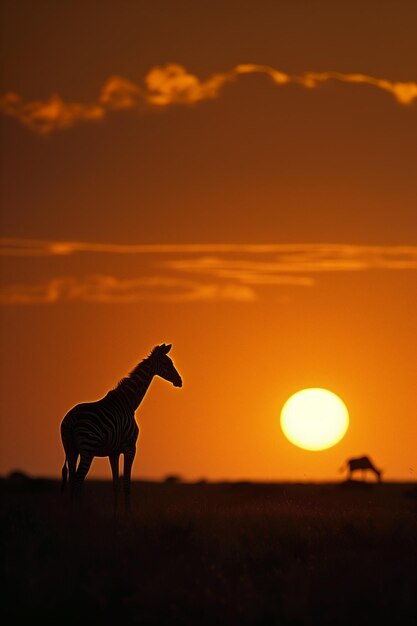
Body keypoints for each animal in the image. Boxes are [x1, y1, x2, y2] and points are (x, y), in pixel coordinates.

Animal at [60, 344, 182, 510]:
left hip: (71, 449)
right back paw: (79, 512)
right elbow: (127, 483)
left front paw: (116, 514)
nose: (180, 381)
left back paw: (72, 512)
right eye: (167, 363)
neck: (128, 402)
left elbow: (116, 485)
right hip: (88, 447)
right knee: (78, 480)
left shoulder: (114, 452)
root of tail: (71, 419)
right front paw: (128, 513)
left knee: (72, 480)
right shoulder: (130, 447)